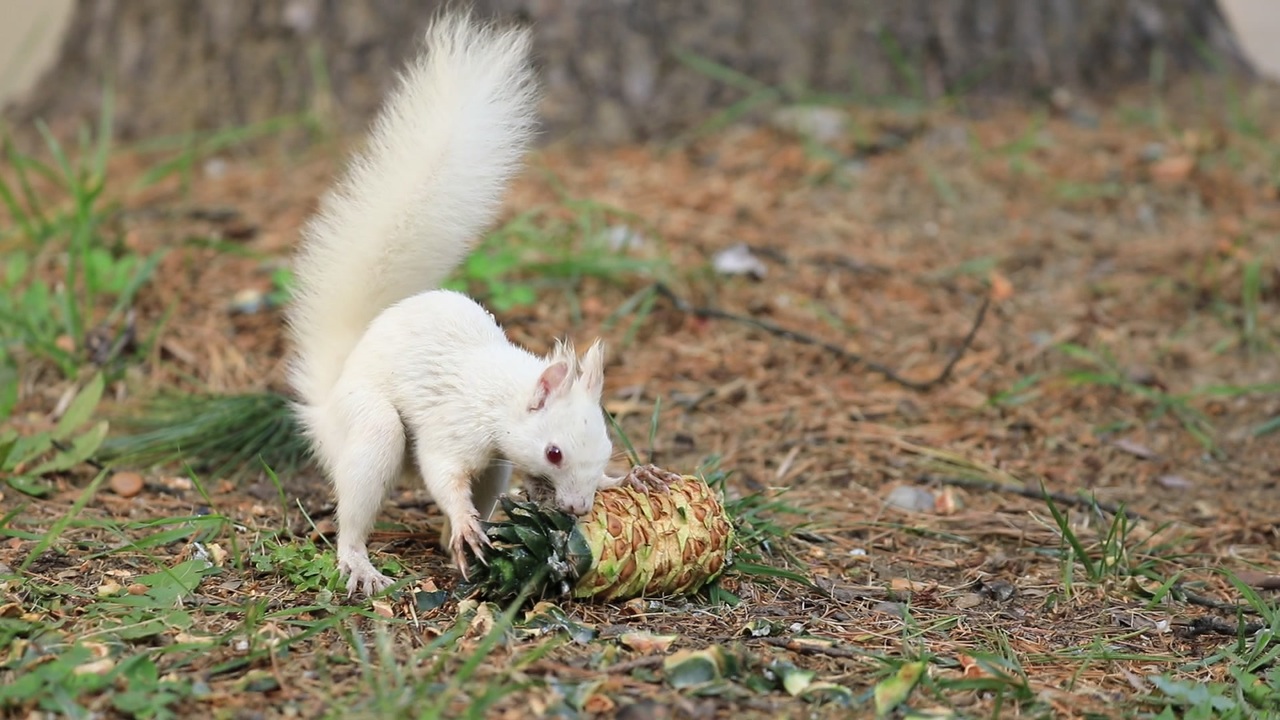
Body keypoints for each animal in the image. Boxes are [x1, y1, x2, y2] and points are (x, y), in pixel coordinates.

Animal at [286, 15, 655, 594]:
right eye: (553, 452)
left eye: (605, 445)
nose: (577, 508)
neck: (501, 395)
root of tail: (326, 405)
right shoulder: (452, 425)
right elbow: (442, 471)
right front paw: (462, 521)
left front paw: (630, 476)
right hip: (370, 427)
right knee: (360, 496)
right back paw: (365, 561)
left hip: (496, 468)